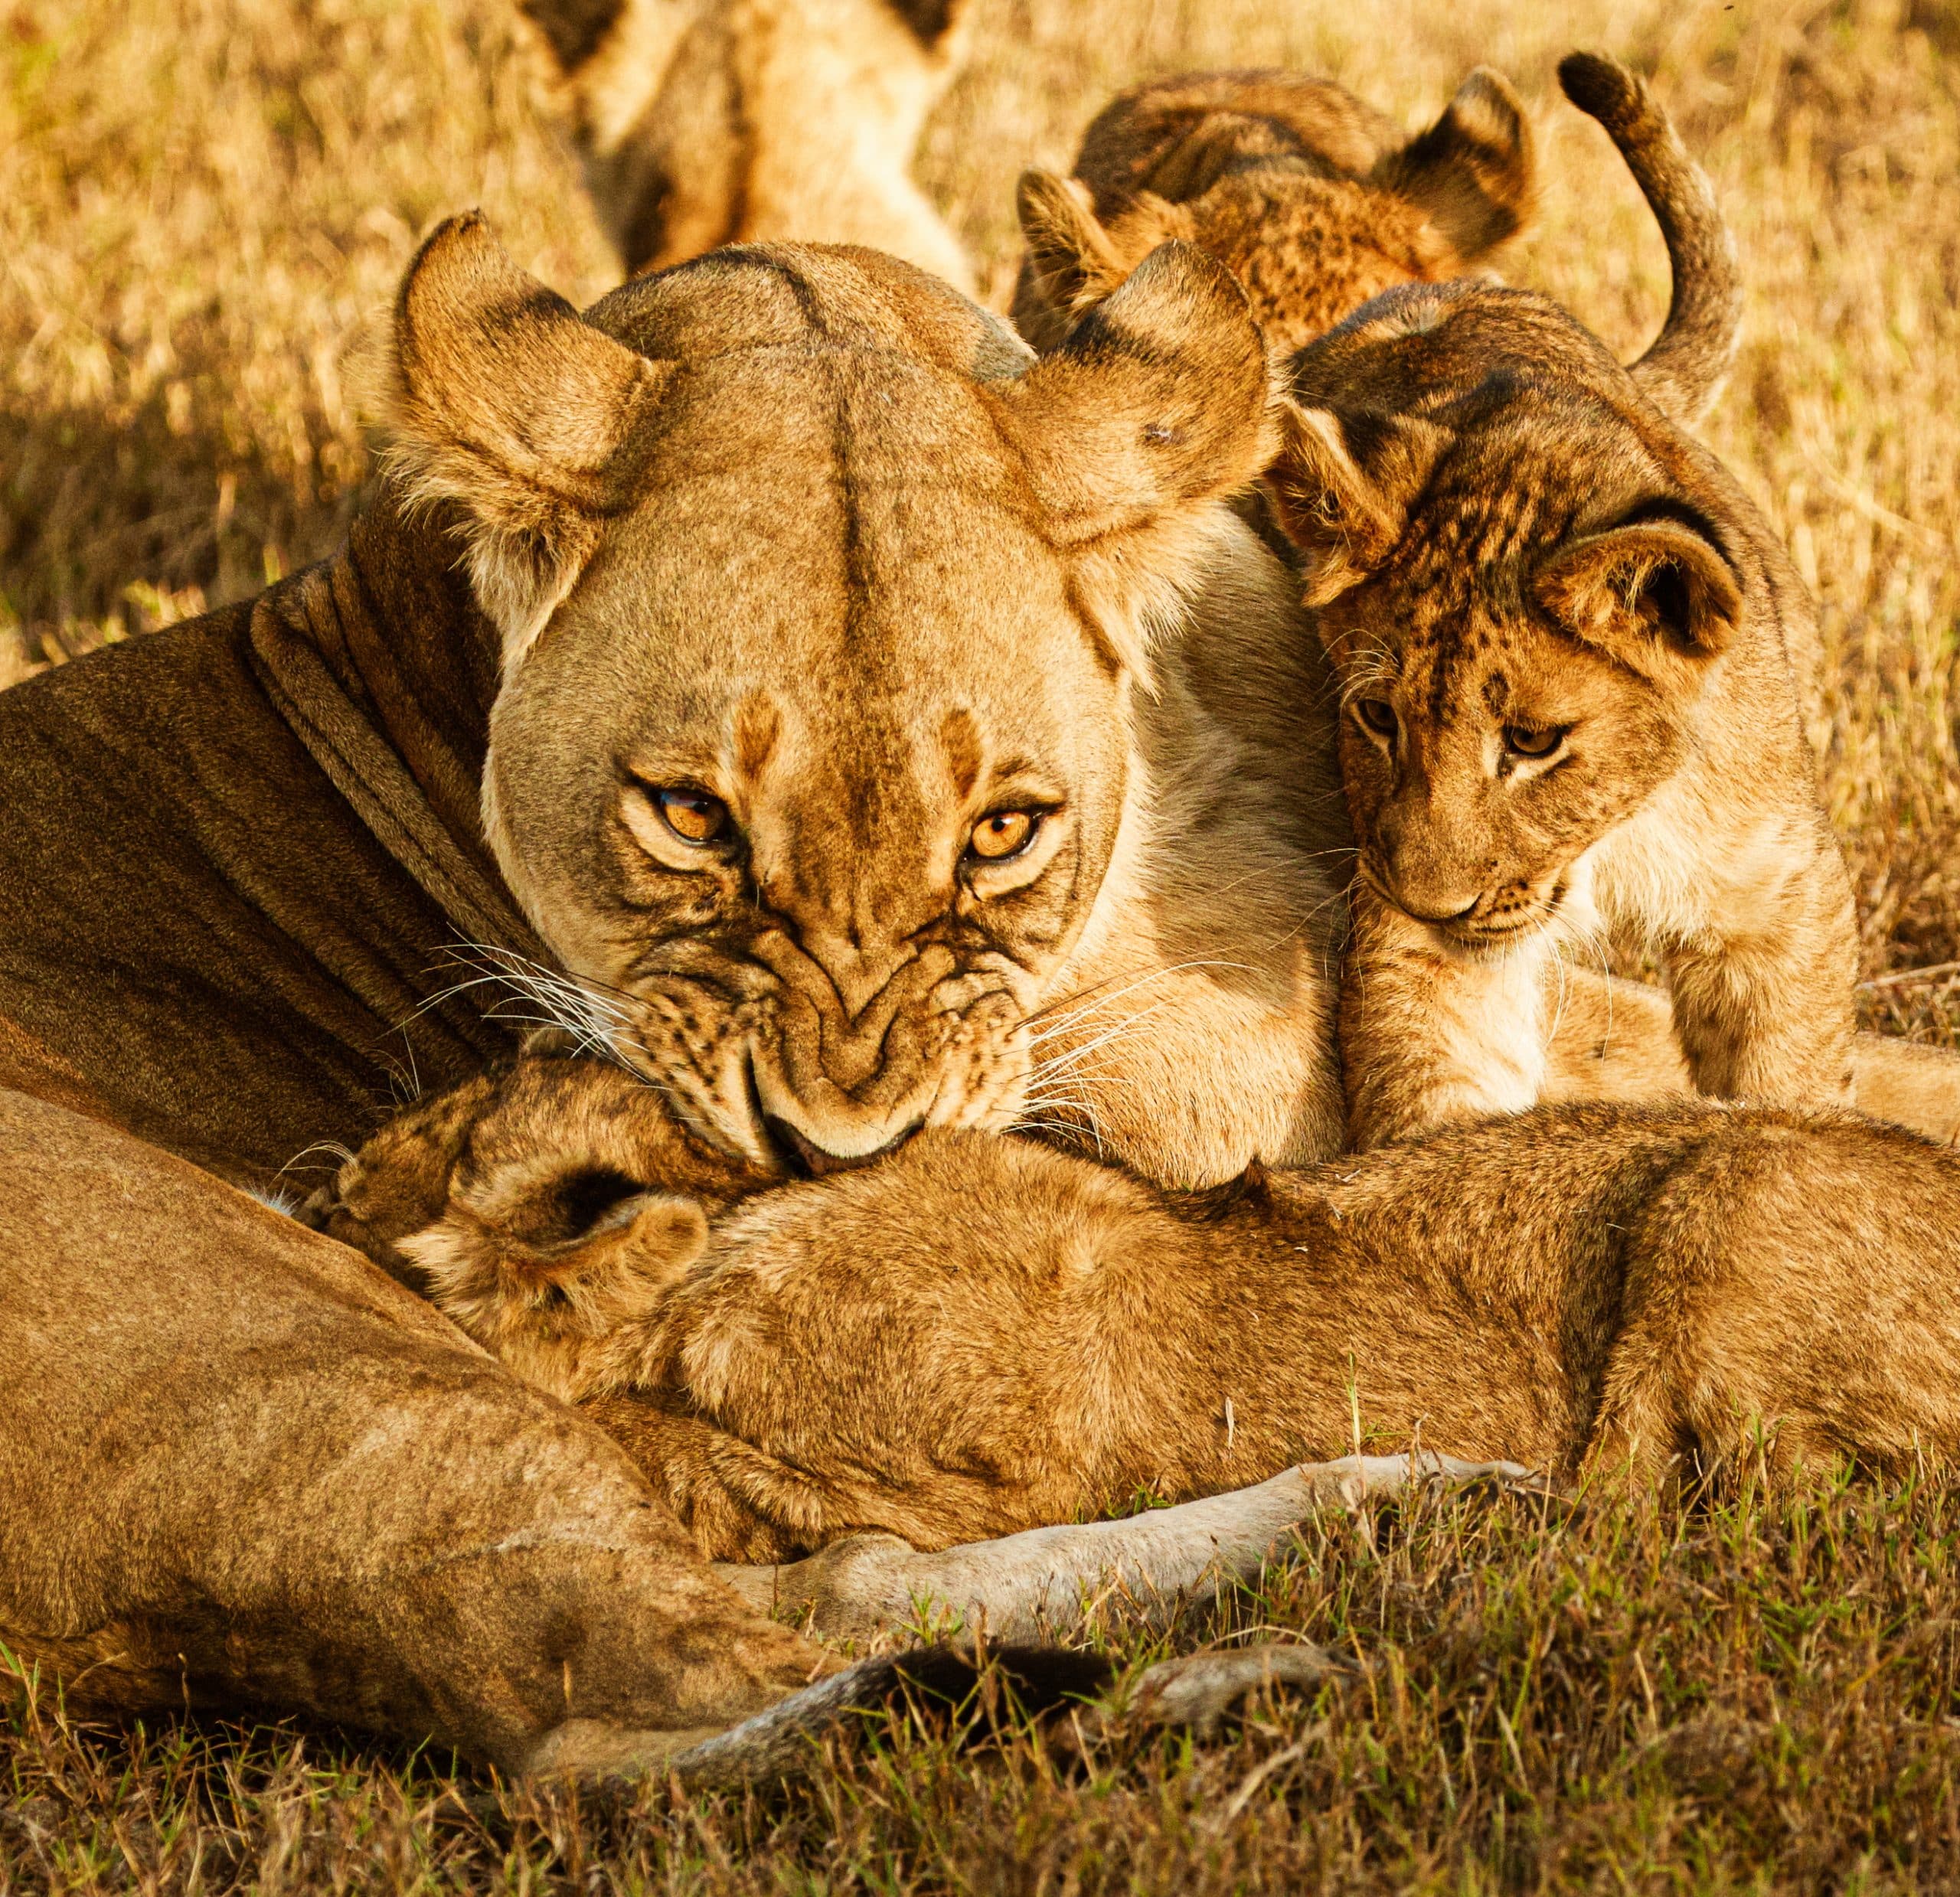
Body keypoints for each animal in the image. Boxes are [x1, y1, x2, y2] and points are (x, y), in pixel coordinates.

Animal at [1262, 57, 1856, 1151]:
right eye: (1377, 717)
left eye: (1533, 742)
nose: (1430, 901)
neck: (1608, 838)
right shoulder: (1419, 939)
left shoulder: (1781, 903)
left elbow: (1788, 1081)